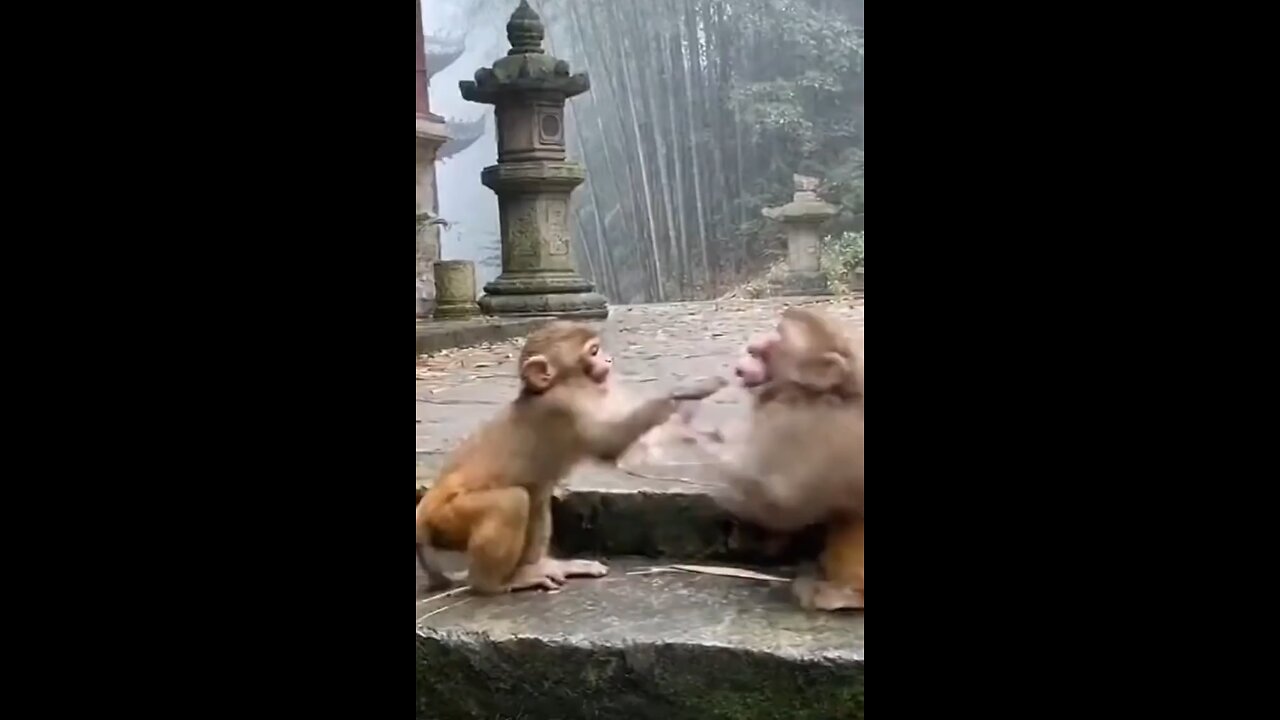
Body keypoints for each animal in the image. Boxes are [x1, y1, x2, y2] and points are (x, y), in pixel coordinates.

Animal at [416, 320, 727, 596]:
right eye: (593, 351)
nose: (609, 359)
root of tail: (427, 505)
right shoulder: (564, 406)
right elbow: (608, 444)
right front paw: (688, 391)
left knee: (537, 499)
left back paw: (537, 567)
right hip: (448, 518)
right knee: (513, 501)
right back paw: (492, 583)